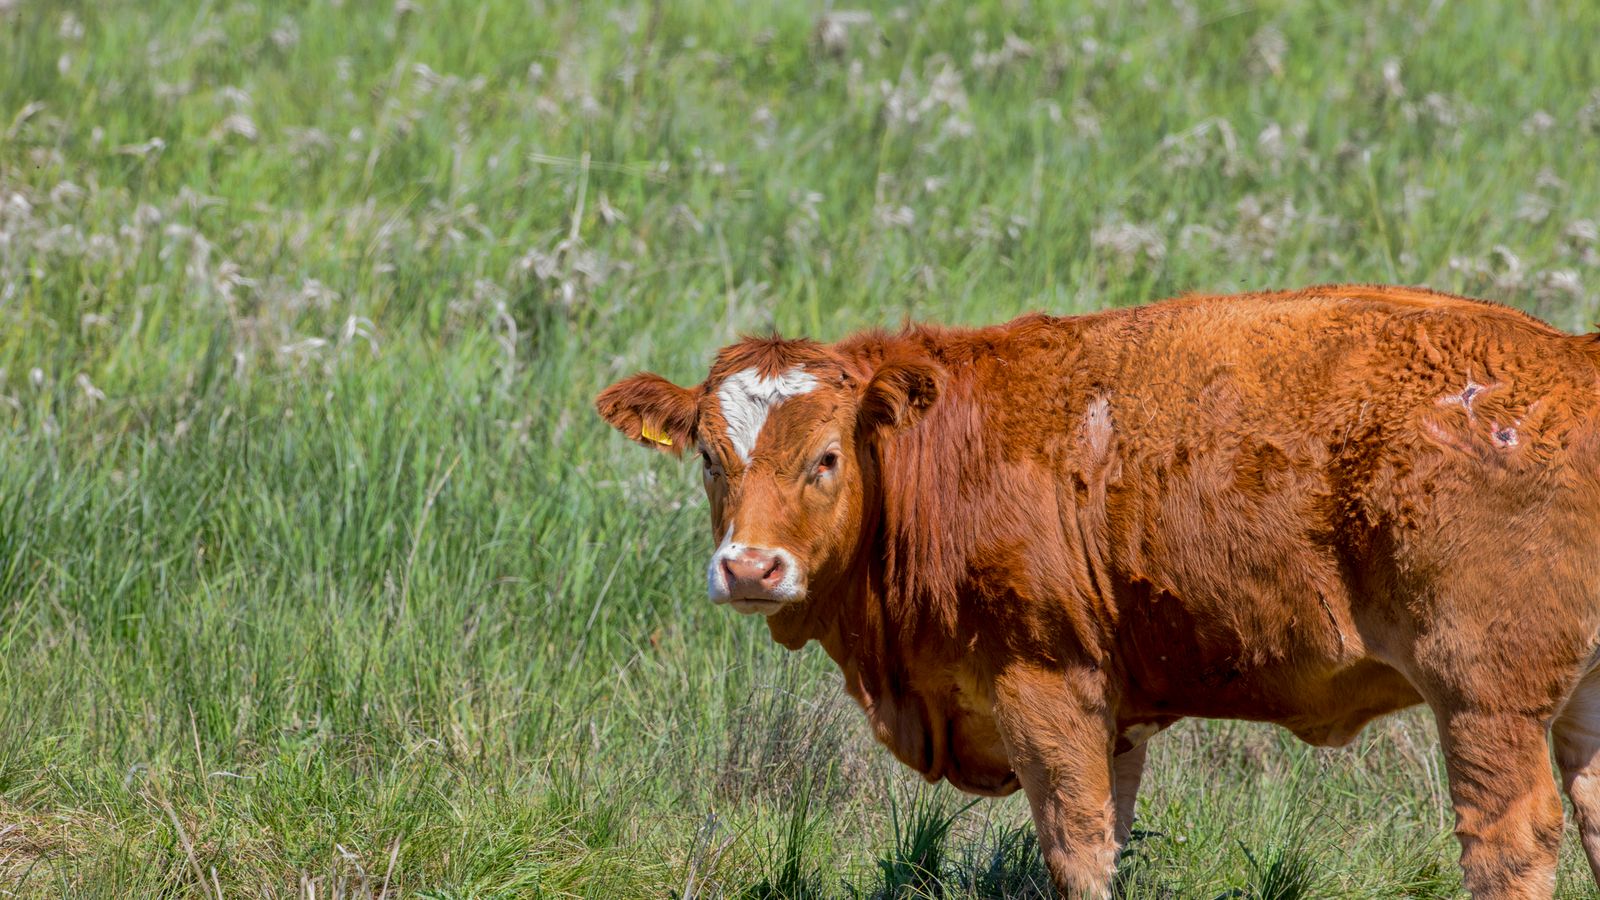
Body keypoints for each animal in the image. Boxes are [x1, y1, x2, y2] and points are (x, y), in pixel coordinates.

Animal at [592, 283, 1600, 890]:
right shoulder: (1118, 713)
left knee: (1508, 846)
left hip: (1485, 699)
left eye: (826, 458)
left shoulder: (1046, 683)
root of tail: (1574, 358)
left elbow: (1074, 849)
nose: (749, 567)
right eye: (711, 460)